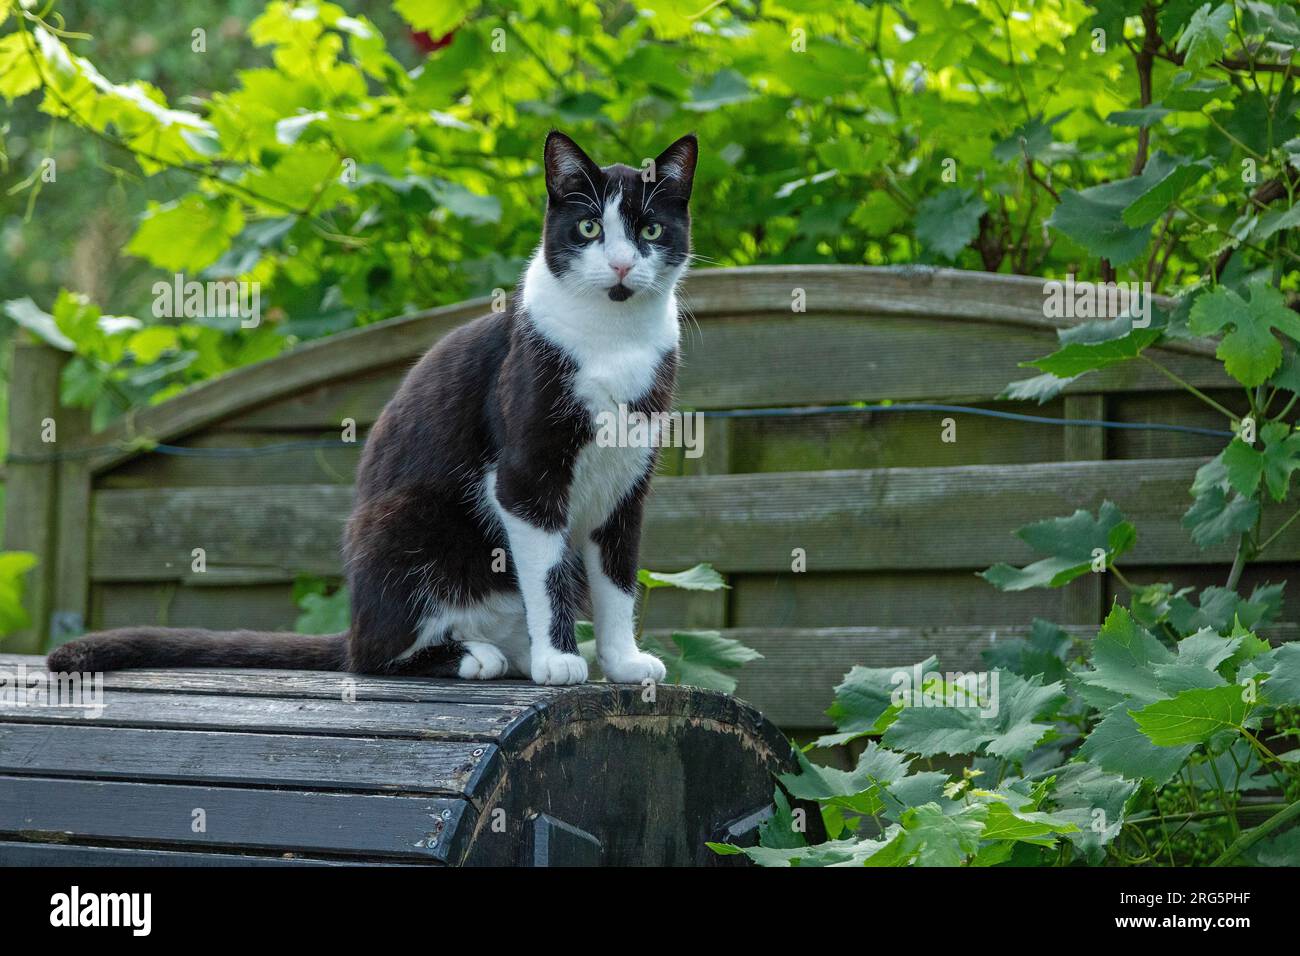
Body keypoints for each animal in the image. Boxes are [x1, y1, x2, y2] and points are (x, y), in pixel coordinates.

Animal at [48, 134, 702, 686]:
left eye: (649, 228)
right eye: (589, 226)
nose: (621, 265)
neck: (612, 342)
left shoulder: (626, 481)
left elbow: (617, 579)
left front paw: (623, 663)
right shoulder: (524, 474)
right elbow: (547, 576)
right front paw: (561, 661)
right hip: (402, 523)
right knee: (372, 655)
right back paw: (472, 656)